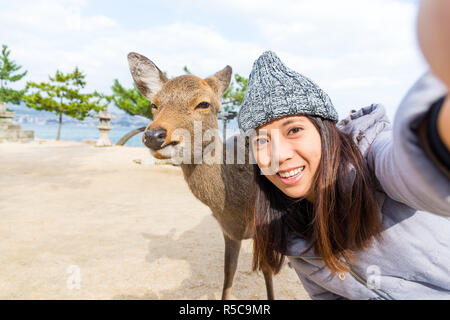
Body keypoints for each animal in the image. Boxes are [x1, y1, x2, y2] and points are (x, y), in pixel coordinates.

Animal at [127, 52, 274, 300]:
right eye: (154, 104)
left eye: (204, 103)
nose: (154, 135)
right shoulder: (228, 231)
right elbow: (228, 271)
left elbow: (266, 270)